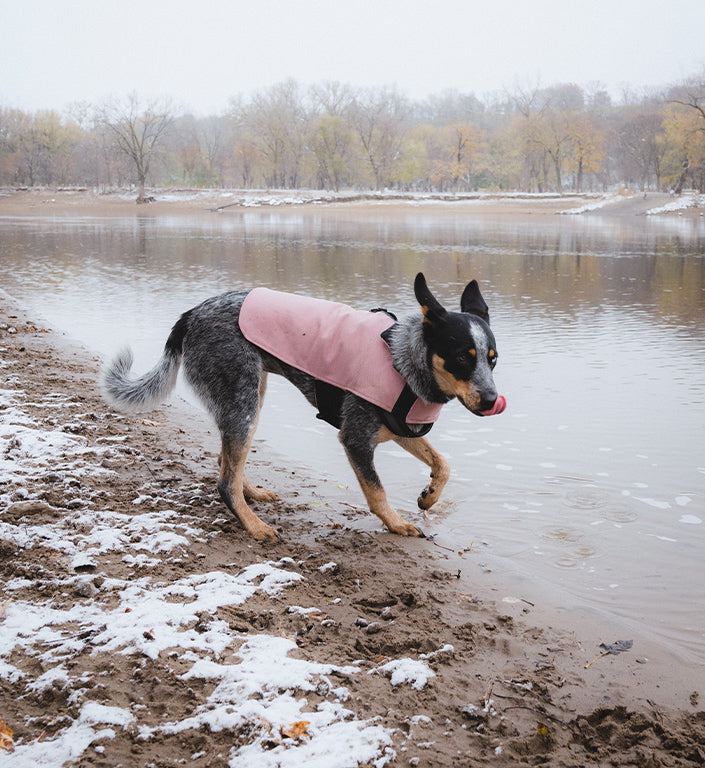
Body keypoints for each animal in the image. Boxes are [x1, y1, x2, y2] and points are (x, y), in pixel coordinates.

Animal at [102, 272, 504, 544]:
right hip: (244, 402)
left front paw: (430, 496)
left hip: (247, 399)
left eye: (492, 359)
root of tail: (190, 314)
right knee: (224, 482)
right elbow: (376, 492)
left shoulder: (396, 427)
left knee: (225, 461)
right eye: (461, 358)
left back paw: (252, 493)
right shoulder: (356, 438)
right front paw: (395, 522)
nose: (490, 401)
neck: (403, 360)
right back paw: (254, 525)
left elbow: (443, 463)